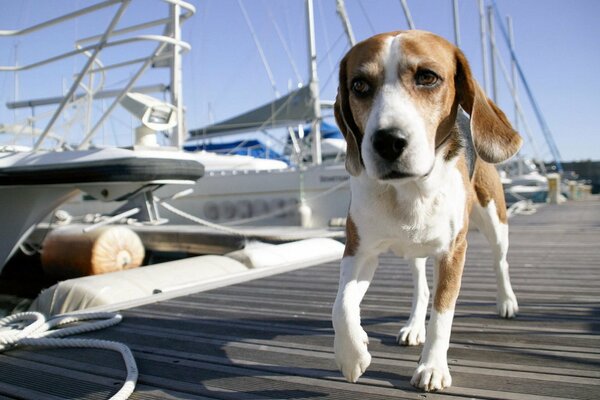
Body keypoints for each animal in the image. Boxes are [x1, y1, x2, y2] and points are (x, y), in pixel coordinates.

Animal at [330, 30, 524, 390]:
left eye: (427, 77)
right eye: (359, 85)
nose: (387, 141)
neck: (409, 190)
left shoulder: (453, 251)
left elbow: (443, 313)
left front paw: (432, 366)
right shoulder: (359, 251)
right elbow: (341, 306)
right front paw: (351, 354)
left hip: (495, 221)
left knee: (500, 262)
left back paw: (506, 301)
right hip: (414, 251)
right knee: (420, 289)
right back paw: (413, 326)